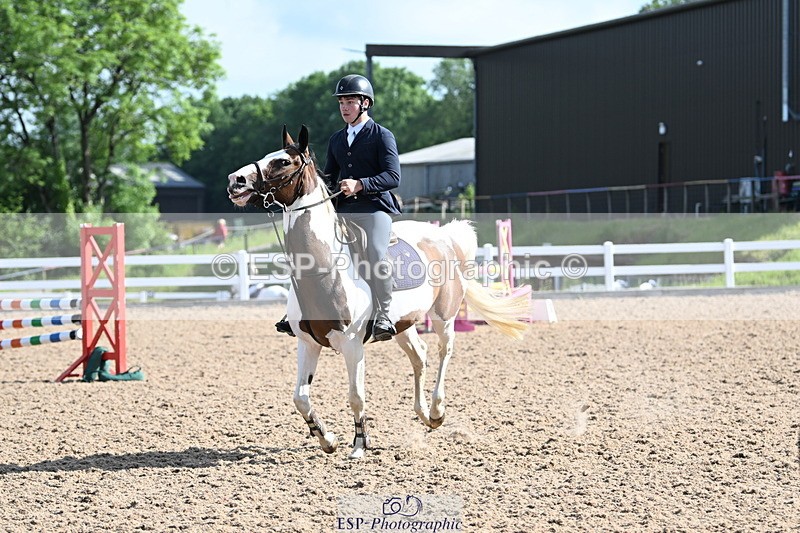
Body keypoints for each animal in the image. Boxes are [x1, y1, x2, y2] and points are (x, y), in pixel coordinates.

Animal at [227, 125, 531, 459]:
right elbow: (300, 398)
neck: (321, 270)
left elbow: (356, 395)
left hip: (444, 316)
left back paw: (436, 411)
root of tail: (442, 236)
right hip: (403, 324)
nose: (235, 181)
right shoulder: (307, 343)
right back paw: (423, 414)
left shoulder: (352, 345)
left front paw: (360, 443)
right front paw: (327, 439)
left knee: (444, 351)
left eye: (282, 162)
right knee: (419, 356)